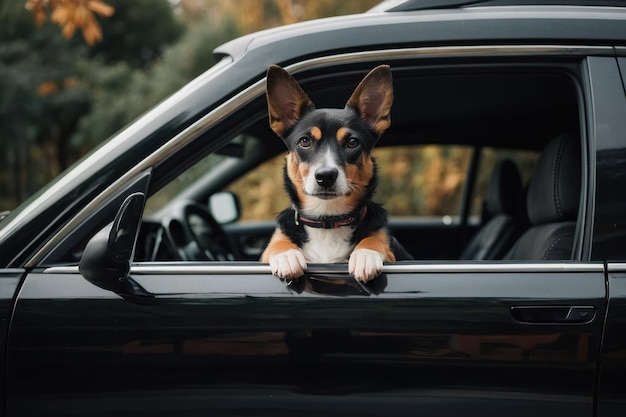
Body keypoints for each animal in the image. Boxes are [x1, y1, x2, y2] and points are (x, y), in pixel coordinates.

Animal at [260, 63, 398, 282]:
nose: (325, 176)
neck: (327, 219)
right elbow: (276, 244)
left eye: (352, 142)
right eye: (304, 141)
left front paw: (366, 253)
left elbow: (374, 239)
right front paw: (286, 255)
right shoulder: (269, 249)